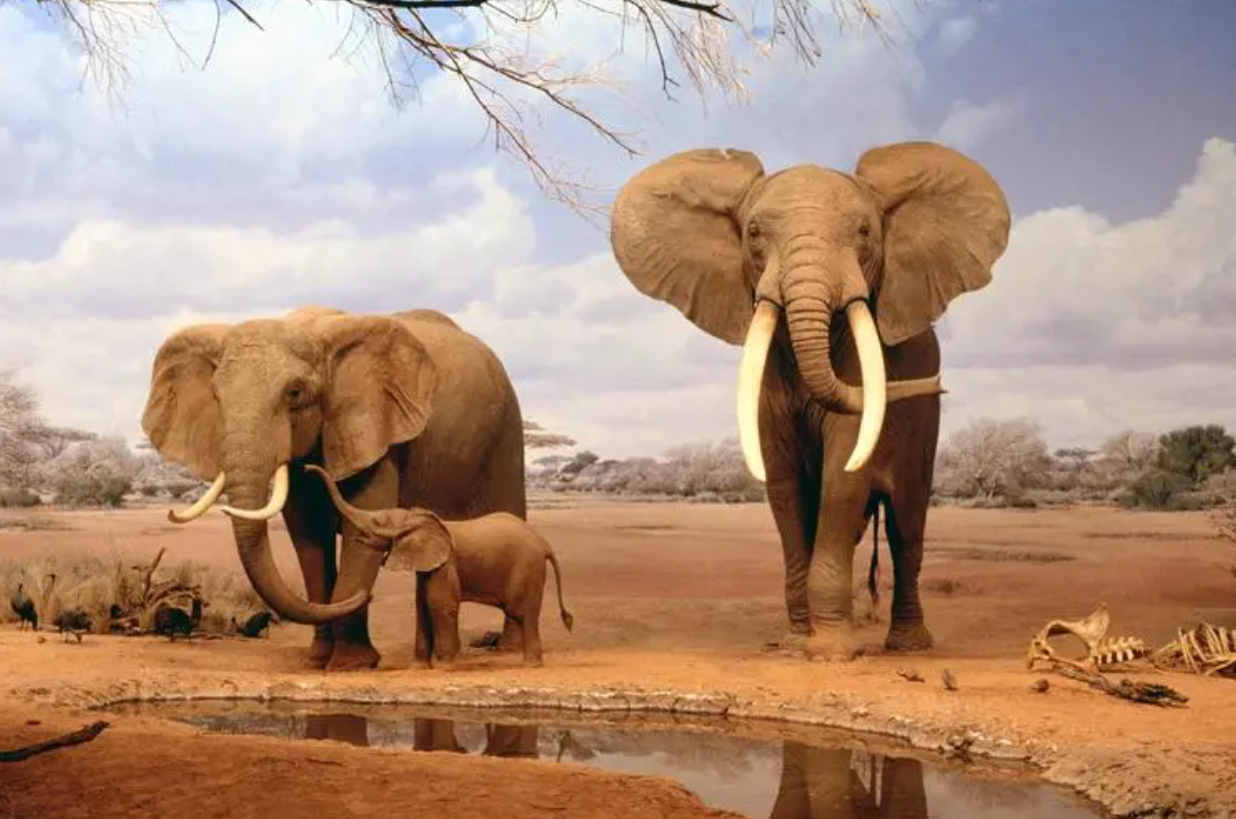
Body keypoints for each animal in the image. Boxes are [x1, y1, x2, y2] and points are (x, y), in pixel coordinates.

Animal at [141, 306, 527, 671]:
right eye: (217, 397)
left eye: (294, 392)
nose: (367, 597)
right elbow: (308, 538)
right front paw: (317, 661)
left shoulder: (374, 428)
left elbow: (362, 525)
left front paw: (350, 665)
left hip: (506, 431)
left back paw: (509, 650)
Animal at [306, 464, 574, 667]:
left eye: (377, 522)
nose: (307, 468)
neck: (417, 519)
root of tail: (543, 542)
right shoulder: (427, 565)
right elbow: (422, 605)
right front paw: (419, 667)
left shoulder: (446, 564)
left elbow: (440, 604)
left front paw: (445, 665)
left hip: (527, 567)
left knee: (523, 612)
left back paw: (531, 664)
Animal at [610, 141, 1010, 660]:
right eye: (754, 233)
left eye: (864, 232)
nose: (938, 383)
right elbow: (784, 486)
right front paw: (795, 642)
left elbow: (843, 477)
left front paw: (832, 651)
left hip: (926, 428)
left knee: (906, 527)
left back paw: (908, 646)